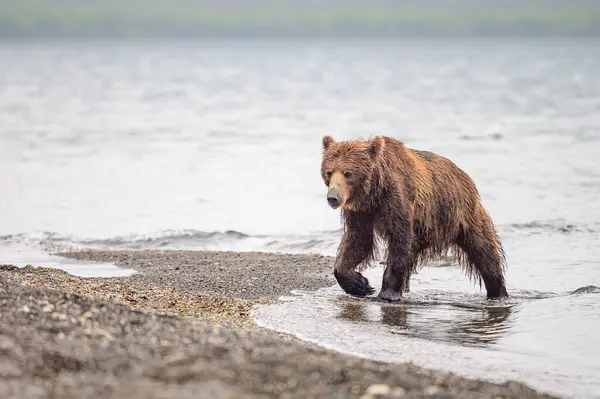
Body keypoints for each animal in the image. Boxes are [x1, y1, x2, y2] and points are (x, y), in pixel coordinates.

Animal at [322, 134, 508, 300]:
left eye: (348, 173)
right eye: (329, 172)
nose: (333, 198)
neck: (374, 193)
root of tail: (466, 177)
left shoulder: (397, 200)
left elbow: (398, 239)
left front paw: (387, 293)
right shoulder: (361, 211)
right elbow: (358, 240)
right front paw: (360, 284)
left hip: (462, 215)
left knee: (484, 251)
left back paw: (498, 292)